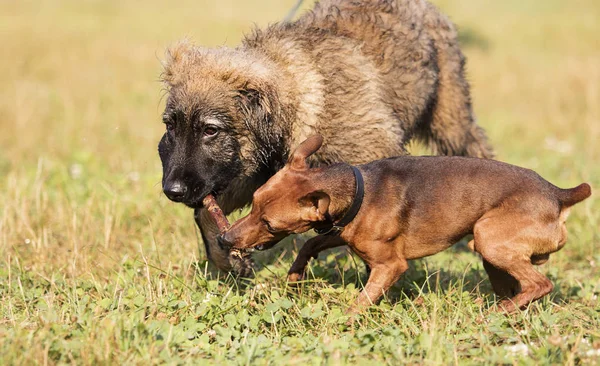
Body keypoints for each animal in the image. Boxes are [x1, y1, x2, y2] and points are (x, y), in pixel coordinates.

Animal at [158, 0, 492, 274]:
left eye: (210, 130)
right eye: (171, 126)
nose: (172, 191)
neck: (298, 97)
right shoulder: (259, 174)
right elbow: (205, 212)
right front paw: (228, 260)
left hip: (451, 117)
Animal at [220, 136, 592, 314]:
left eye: (269, 223)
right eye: (253, 203)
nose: (224, 239)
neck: (358, 189)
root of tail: (559, 194)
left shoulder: (389, 265)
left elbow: (363, 299)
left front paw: (343, 319)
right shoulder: (342, 232)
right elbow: (311, 243)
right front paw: (295, 276)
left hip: (486, 238)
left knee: (539, 283)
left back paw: (495, 313)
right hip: (492, 254)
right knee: (520, 286)